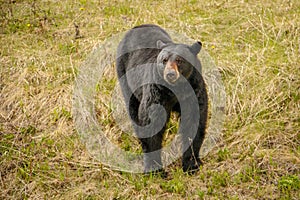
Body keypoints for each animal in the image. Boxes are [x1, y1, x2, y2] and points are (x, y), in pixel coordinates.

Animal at [116, 23, 207, 173]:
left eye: (180, 60)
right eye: (164, 60)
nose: (170, 74)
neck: (176, 89)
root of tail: (138, 26)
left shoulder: (193, 92)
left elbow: (194, 122)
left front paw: (191, 164)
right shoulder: (156, 93)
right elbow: (151, 123)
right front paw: (155, 169)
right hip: (125, 78)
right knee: (133, 110)